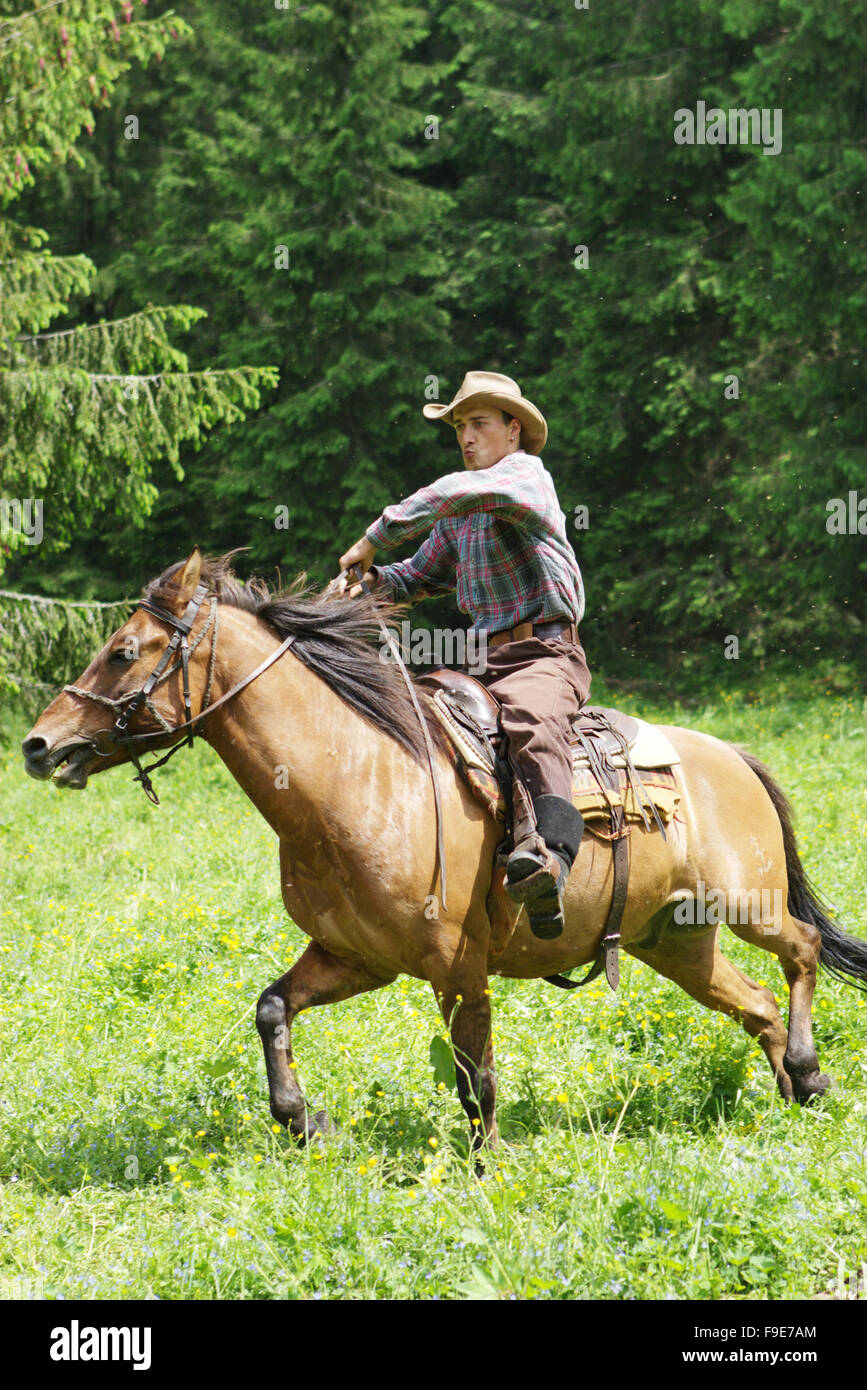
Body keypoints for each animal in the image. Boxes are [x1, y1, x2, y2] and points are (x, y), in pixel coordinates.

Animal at [21, 548, 867, 1156]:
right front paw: (303, 1121)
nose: (37, 745)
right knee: (755, 1005)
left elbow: (474, 1075)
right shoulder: (353, 956)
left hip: (747, 904)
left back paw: (805, 1069)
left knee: (799, 951)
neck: (359, 779)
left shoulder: (457, 965)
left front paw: (487, 1162)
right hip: (675, 942)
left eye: (124, 651)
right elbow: (271, 1009)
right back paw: (797, 1094)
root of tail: (729, 756)